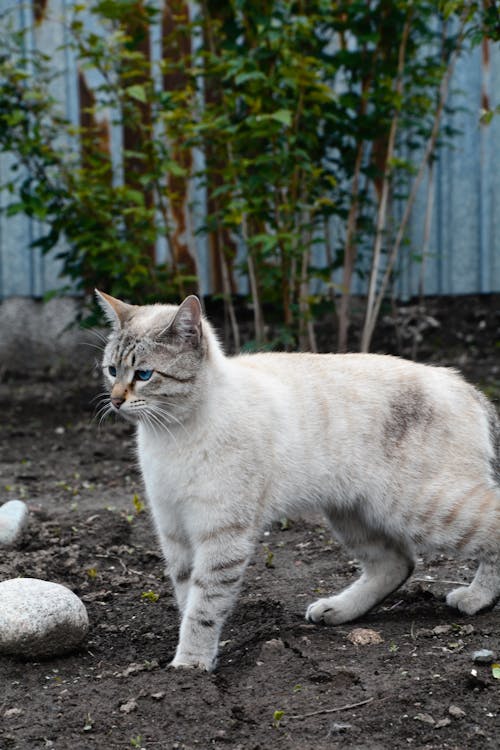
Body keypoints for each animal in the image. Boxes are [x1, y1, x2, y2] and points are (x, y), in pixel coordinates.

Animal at [96, 290, 500, 672]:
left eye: (144, 375)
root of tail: (465, 385)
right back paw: (336, 610)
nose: (115, 401)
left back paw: (475, 599)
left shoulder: (221, 534)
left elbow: (204, 605)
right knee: (397, 563)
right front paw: (193, 654)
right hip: (352, 511)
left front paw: (190, 666)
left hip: (419, 507)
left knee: (489, 527)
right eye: (112, 370)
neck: (170, 435)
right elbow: (186, 597)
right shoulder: (174, 530)